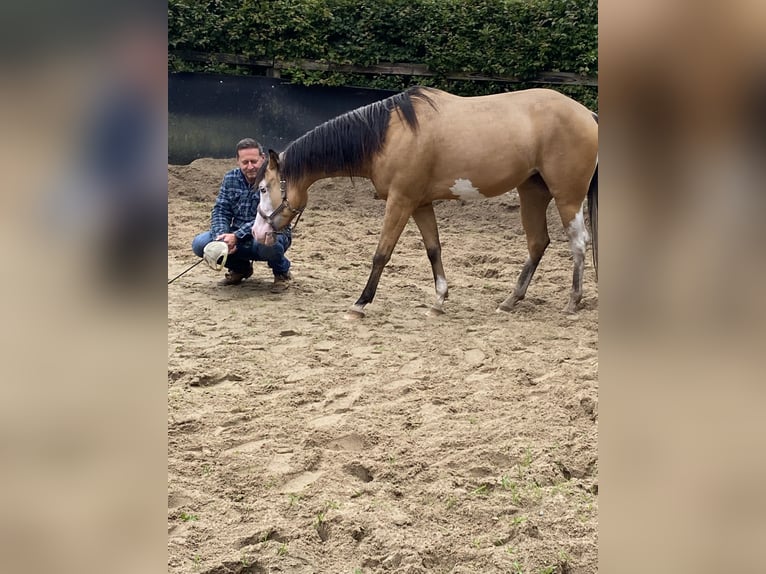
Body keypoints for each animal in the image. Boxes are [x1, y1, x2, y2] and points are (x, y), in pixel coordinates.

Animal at [252, 86, 600, 320]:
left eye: (264, 188)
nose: (257, 232)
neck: (388, 134)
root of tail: (588, 114)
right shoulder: (420, 204)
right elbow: (433, 249)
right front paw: (439, 300)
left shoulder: (400, 201)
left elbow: (381, 253)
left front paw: (360, 303)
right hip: (532, 192)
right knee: (538, 242)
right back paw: (511, 300)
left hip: (567, 196)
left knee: (579, 242)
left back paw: (573, 301)